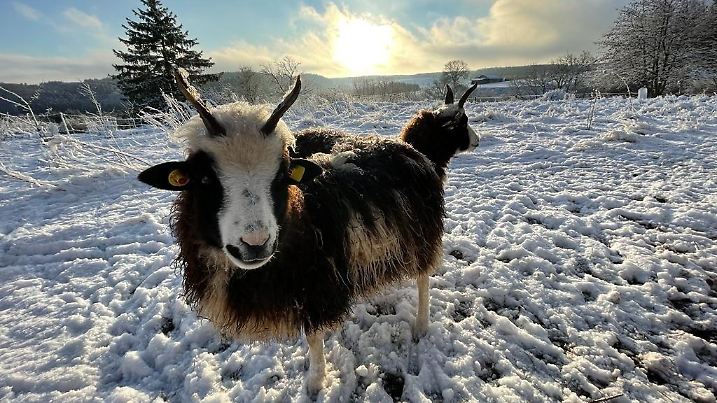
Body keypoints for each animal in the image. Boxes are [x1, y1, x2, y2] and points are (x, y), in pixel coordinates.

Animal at [138, 69, 445, 394]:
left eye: (282, 175)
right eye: (205, 178)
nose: (255, 243)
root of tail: (408, 149)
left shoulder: (315, 286)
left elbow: (313, 337)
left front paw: (315, 381)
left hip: (422, 236)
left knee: (423, 279)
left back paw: (421, 324)